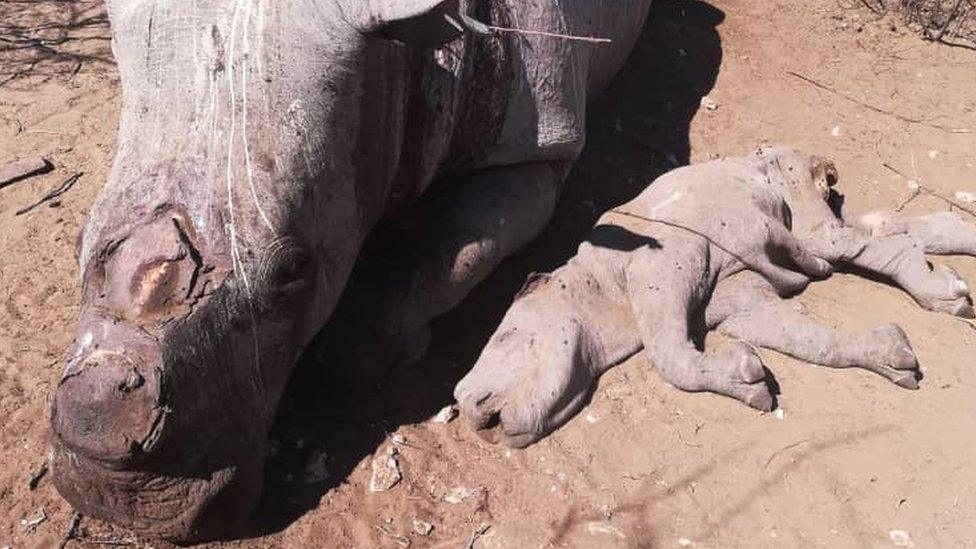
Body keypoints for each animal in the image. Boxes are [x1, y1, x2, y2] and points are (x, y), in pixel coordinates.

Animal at [45, 0, 840, 540]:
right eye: (79, 238)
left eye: (296, 272)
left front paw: (361, 353)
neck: (409, 57)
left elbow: (454, 253)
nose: (116, 496)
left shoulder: (532, 153)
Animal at [460, 147, 976, 450]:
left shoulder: (663, 267)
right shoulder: (739, 297)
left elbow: (669, 357)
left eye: (504, 338)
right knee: (889, 227)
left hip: (800, 194)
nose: (468, 408)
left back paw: (937, 290)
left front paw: (742, 376)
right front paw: (887, 354)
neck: (601, 282)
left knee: (858, 242)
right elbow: (808, 340)